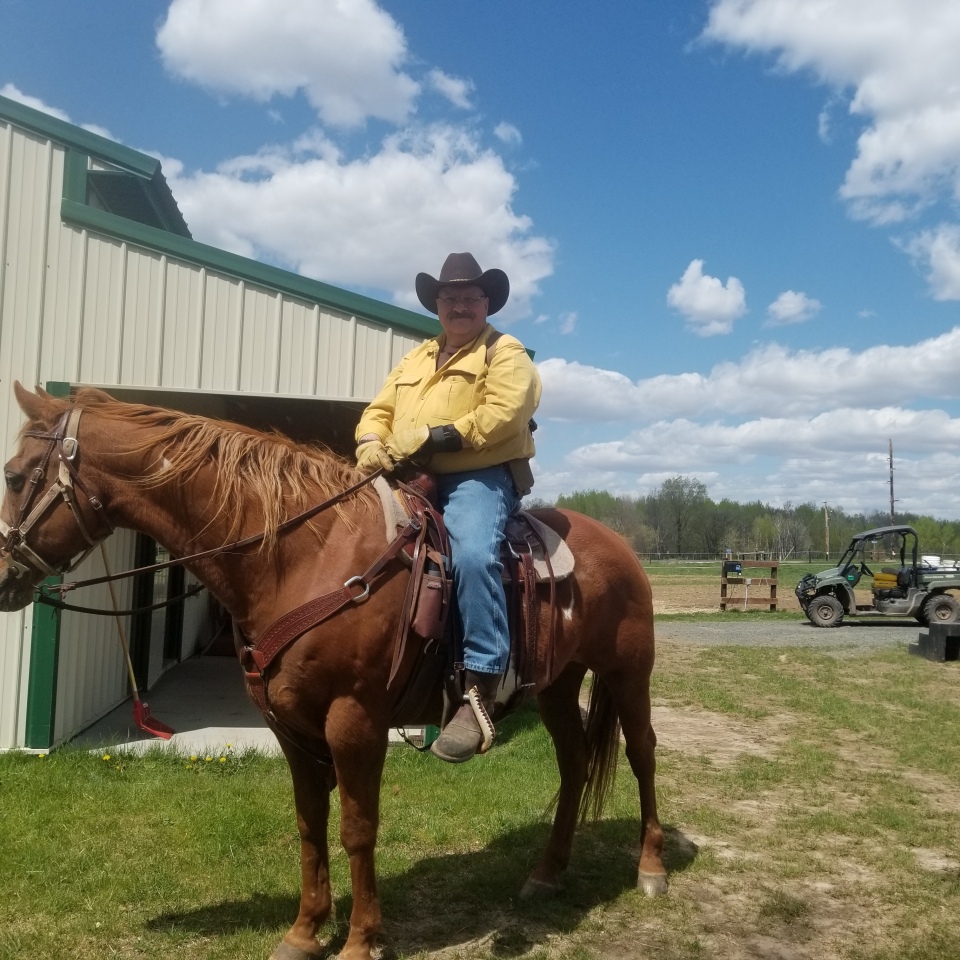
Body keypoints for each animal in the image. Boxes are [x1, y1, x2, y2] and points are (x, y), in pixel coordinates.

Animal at [0, 383, 667, 960]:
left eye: (12, 475)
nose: (4, 577)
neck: (305, 554)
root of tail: (619, 546)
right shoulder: (291, 726)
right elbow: (309, 825)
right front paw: (304, 932)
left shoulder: (354, 720)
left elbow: (356, 828)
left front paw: (360, 941)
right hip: (557, 684)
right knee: (575, 763)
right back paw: (547, 873)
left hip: (629, 674)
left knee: (642, 754)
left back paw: (651, 868)